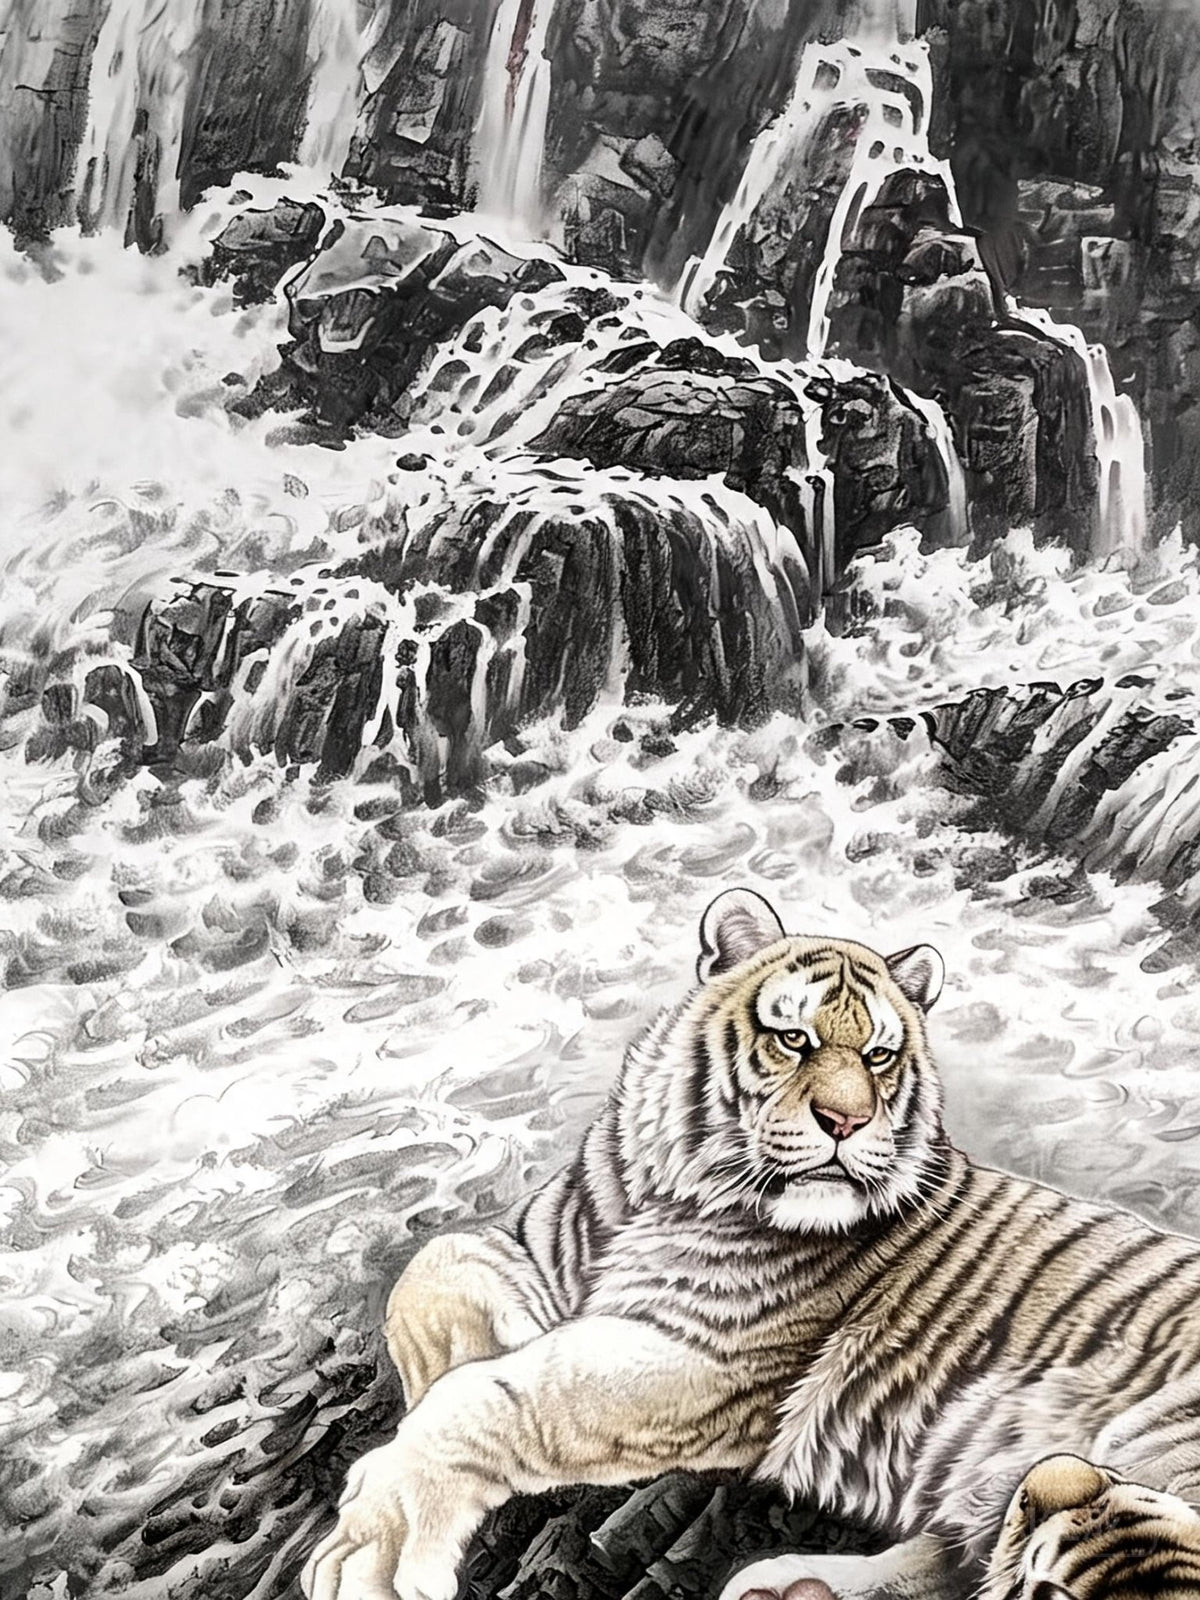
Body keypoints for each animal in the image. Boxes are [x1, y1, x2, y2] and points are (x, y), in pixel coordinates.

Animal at [302, 887, 1200, 1600]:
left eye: (879, 1055)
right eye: (796, 1040)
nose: (845, 1120)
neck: (664, 1187)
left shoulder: (704, 1356)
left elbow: (504, 1395)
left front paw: (372, 1557)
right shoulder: (538, 1239)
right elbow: (429, 1275)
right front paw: (482, 1339)